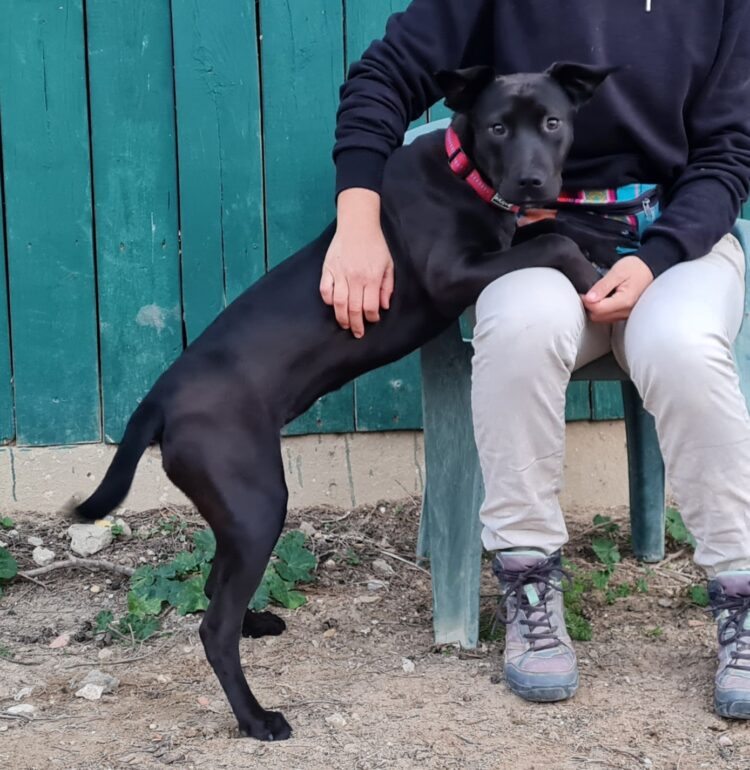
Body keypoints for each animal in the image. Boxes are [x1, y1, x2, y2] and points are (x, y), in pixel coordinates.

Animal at [73, 62, 612, 740]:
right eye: (496, 127)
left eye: (552, 122)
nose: (534, 180)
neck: (463, 172)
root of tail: (159, 397)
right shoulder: (451, 275)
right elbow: (553, 246)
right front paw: (597, 281)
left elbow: (555, 230)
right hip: (257, 502)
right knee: (213, 627)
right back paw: (256, 717)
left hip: (236, 509)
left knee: (217, 581)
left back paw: (256, 622)